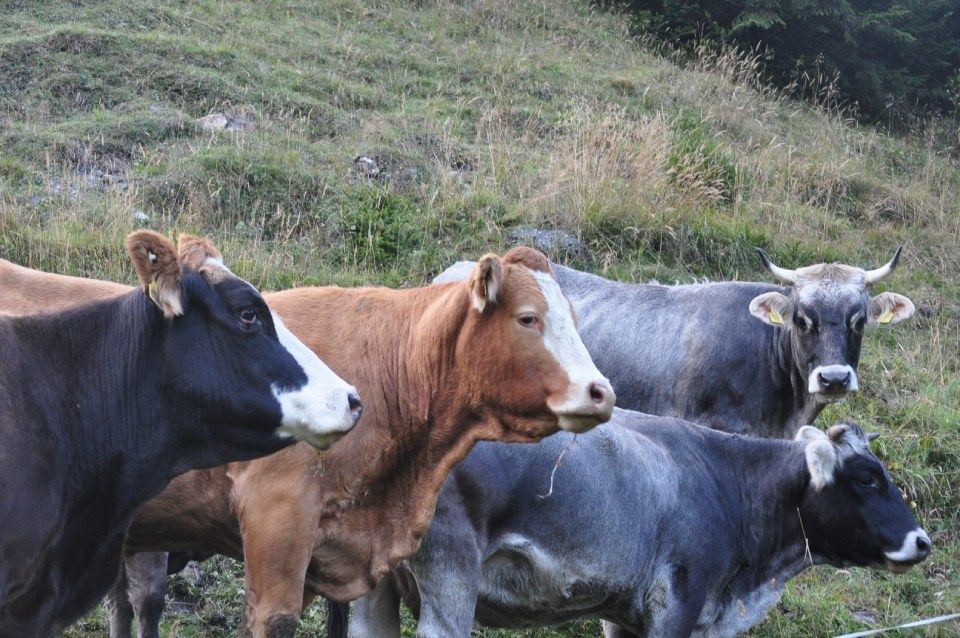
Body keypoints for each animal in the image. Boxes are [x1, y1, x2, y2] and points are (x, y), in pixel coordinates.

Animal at [347, 411, 931, 637]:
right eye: (867, 479)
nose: (923, 541)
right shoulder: (676, 604)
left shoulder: (622, 615)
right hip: (450, 584)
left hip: (373, 594)